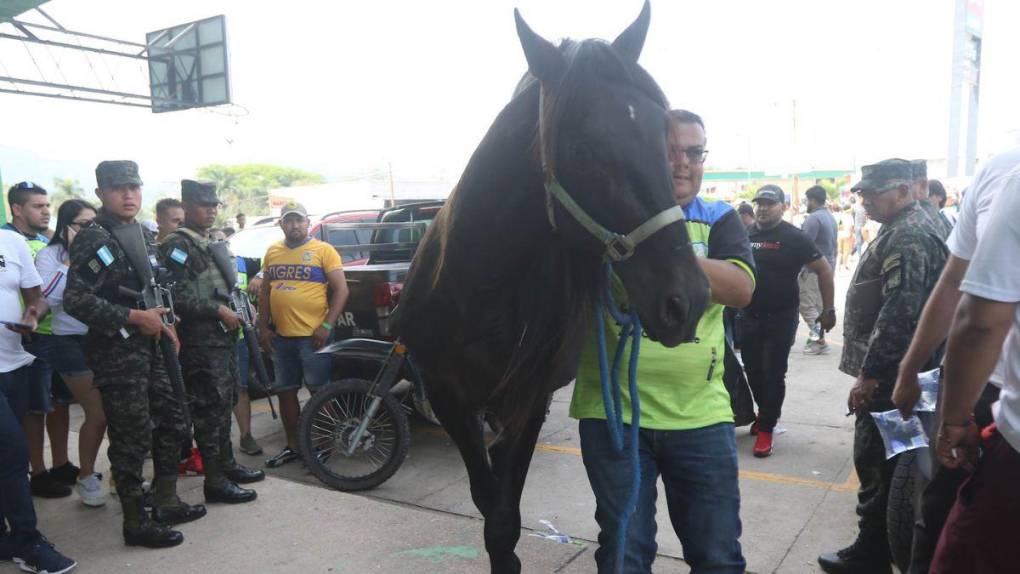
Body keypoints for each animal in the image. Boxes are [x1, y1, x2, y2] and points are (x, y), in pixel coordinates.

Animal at [391, 3, 709, 570]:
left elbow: (503, 516)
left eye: (663, 139)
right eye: (581, 148)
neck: (479, 294)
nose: (685, 300)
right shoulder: (449, 398)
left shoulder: (530, 398)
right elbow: (491, 507)